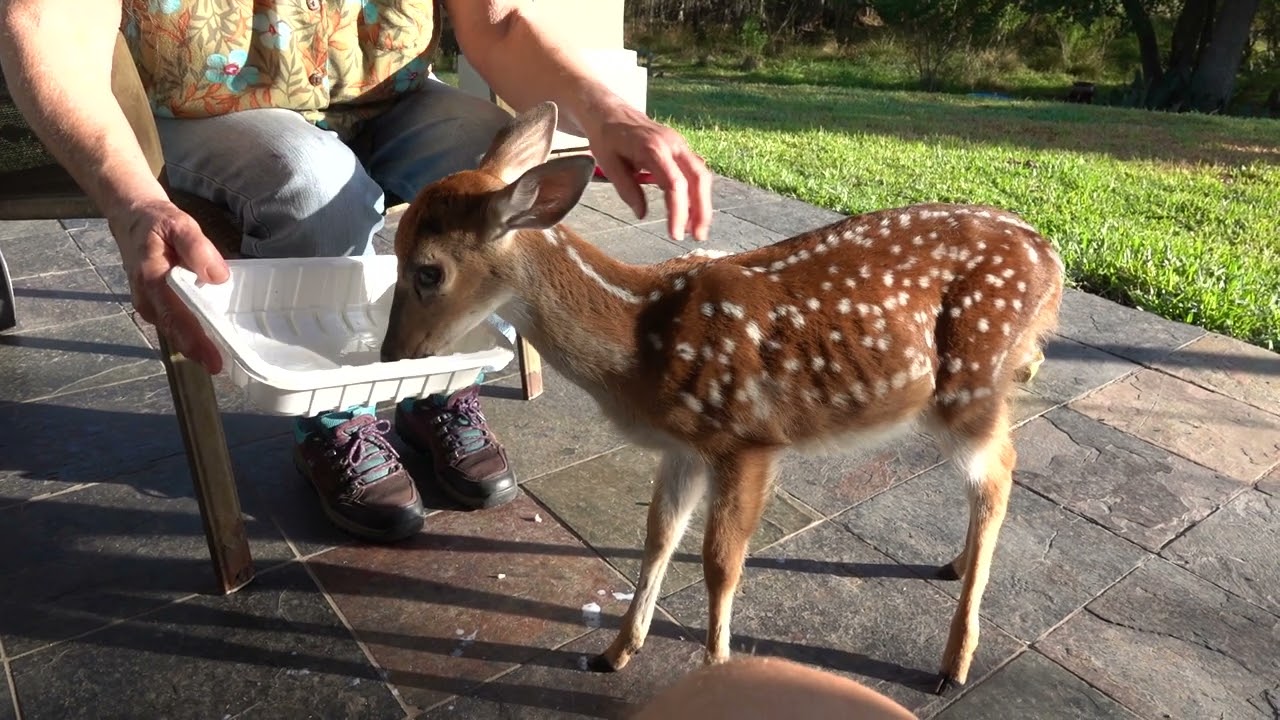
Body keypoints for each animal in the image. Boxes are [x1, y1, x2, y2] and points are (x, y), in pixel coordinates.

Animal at [380, 101, 1065, 695]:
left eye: (429, 270)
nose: (390, 354)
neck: (641, 339)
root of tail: (1053, 259)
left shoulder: (747, 438)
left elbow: (719, 562)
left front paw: (715, 670)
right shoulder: (682, 447)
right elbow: (658, 536)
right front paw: (615, 652)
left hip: (971, 383)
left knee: (999, 473)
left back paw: (954, 662)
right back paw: (954, 566)